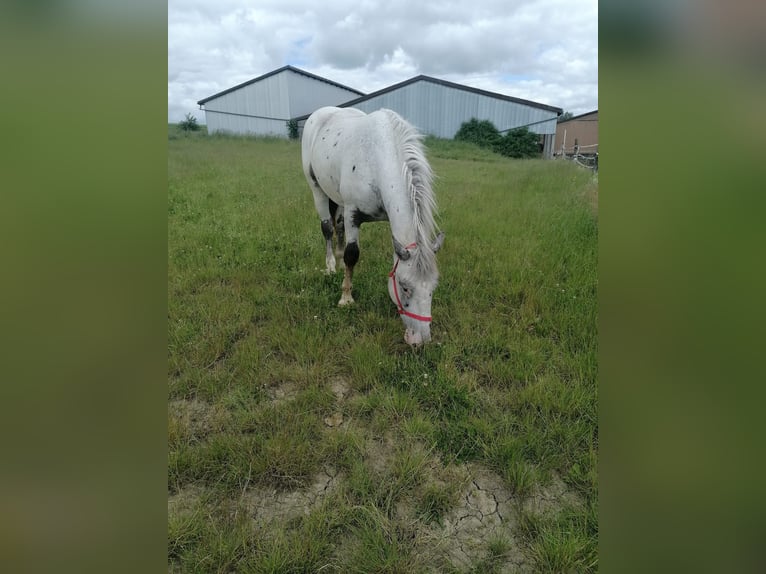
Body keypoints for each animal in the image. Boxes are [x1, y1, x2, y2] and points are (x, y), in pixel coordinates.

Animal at [300, 106, 444, 346]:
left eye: (433, 288)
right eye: (405, 286)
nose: (420, 341)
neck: (378, 160)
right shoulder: (352, 213)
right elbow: (352, 254)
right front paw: (346, 298)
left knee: (338, 227)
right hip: (317, 190)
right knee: (328, 228)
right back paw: (331, 265)